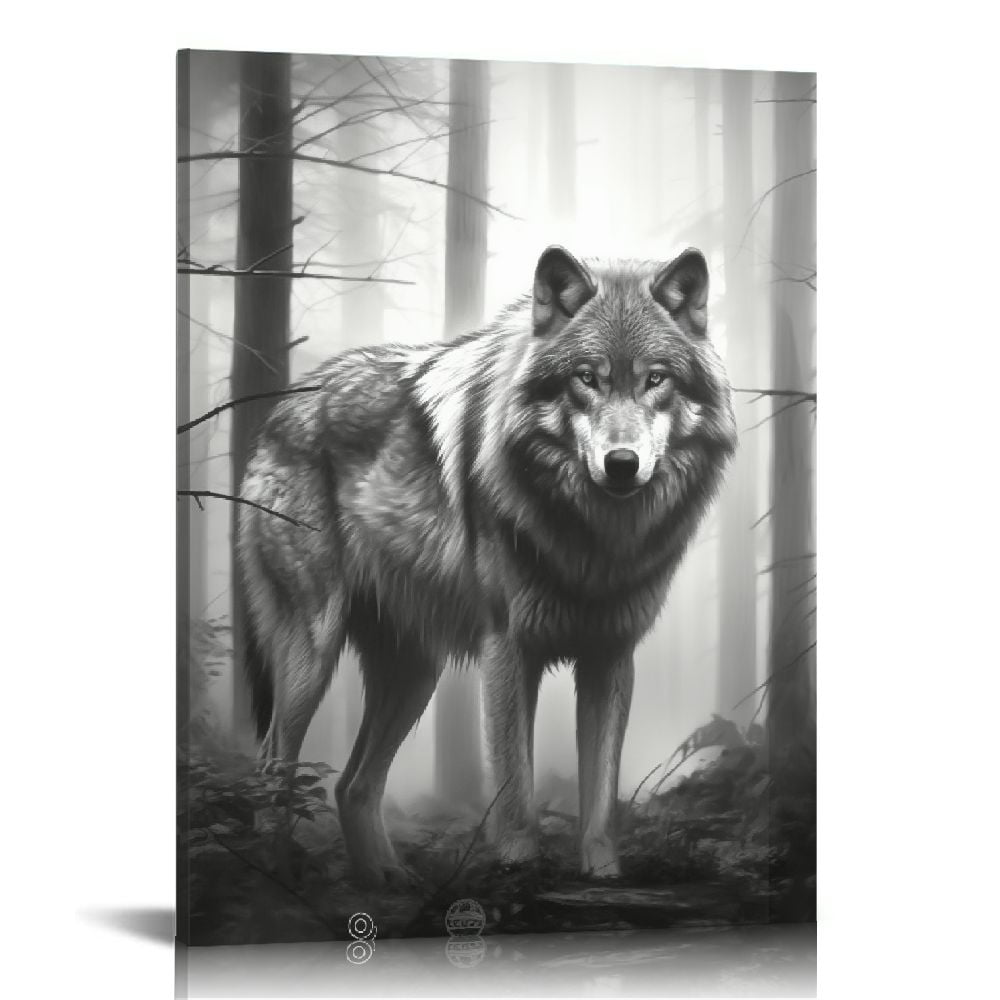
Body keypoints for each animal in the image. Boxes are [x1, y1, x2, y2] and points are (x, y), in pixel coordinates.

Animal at [238, 245, 737, 886]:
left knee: (351, 785)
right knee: (271, 764)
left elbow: (600, 798)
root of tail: (282, 406)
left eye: (656, 379)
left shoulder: (610, 655)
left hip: (415, 673)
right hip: (313, 654)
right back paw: (277, 877)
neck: (594, 541)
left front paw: (603, 877)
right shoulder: (508, 648)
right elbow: (515, 788)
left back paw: (388, 880)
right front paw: (519, 872)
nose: (622, 464)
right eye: (586, 378)